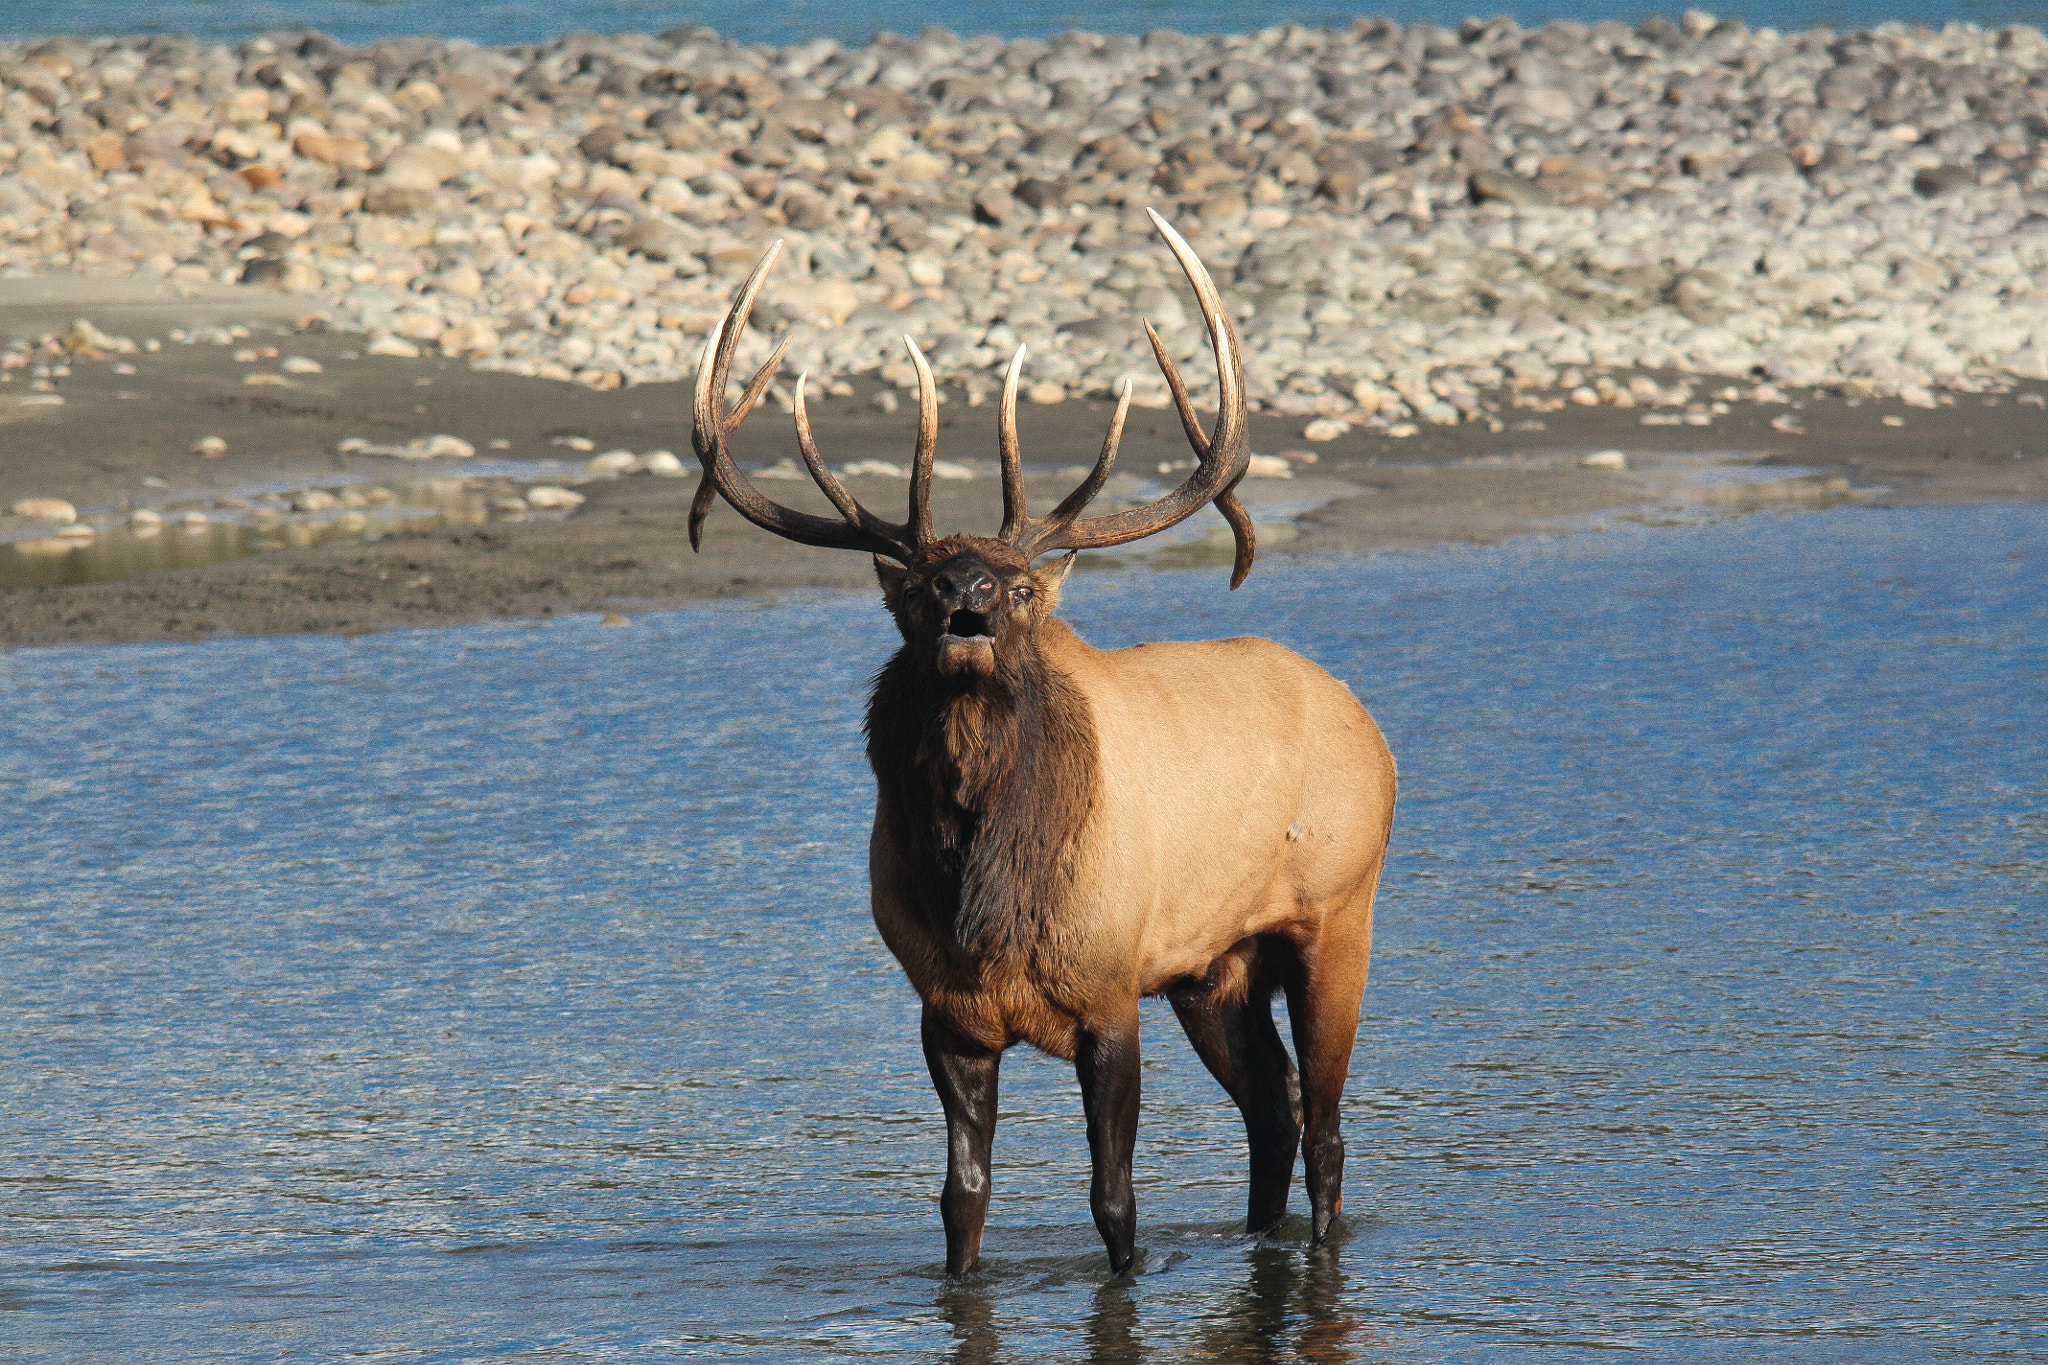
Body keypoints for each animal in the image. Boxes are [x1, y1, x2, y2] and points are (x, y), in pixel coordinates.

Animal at [687, 210, 1396, 1278]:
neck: (986, 898)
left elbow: (1115, 1203)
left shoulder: (1109, 993)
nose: (969, 600)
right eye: (921, 586)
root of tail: (1373, 730)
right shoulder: (948, 1013)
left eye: (1020, 586)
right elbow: (961, 1200)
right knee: (1272, 1113)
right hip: (1214, 967)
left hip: (1336, 914)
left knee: (1324, 1128)